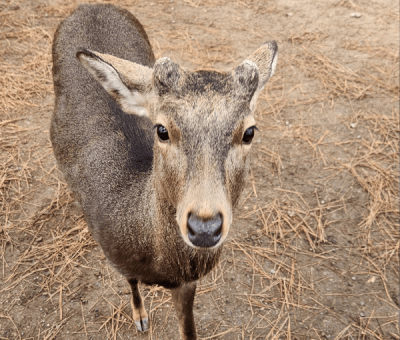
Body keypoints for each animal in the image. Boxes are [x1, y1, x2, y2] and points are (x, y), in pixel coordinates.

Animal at [50, 3, 278, 340]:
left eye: (249, 132)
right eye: (161, 130)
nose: (205, 227)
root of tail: (89, 6)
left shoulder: (188, 284)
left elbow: (188, 329)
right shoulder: (116, 258)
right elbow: (131, 283)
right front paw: (140, 317)